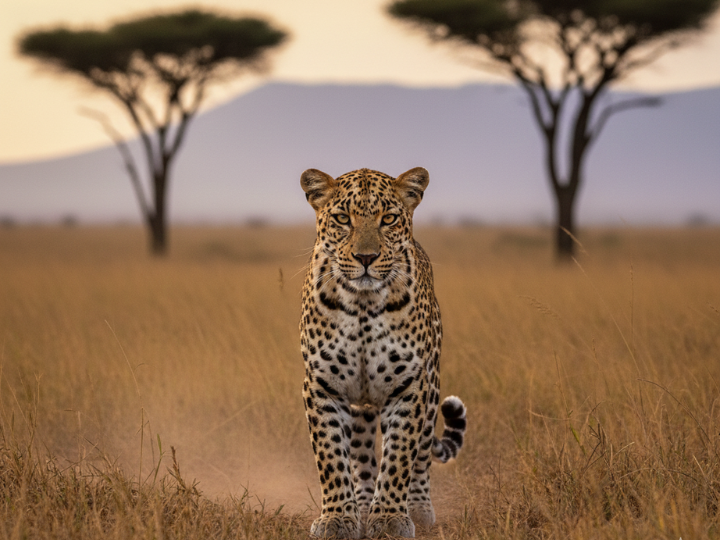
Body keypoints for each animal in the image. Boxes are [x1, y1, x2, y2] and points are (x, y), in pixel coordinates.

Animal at [299, 167, 467, 539]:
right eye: (342, 219)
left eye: (388, 219)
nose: (366, 258)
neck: (362, 304)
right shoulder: (322, 385)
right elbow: (332, 457)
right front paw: (337, 519)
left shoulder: (409, 386)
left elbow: (399, 457)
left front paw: (391, 518)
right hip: (361, 404)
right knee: (361, 456)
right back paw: (362, 507)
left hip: (432, 391)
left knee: (422, 455)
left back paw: (418, 508)